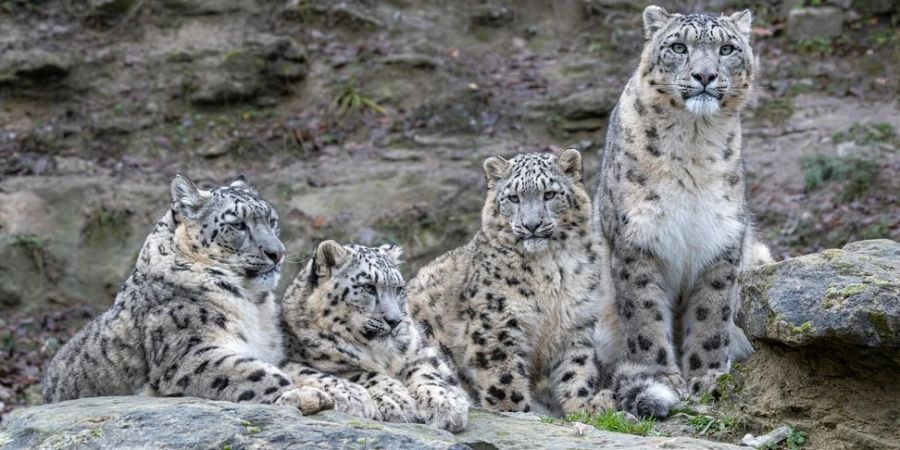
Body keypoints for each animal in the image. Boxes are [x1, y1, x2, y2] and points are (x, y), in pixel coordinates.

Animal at [42, 175, 334, 414]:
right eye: (238, 225)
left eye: (272, 221)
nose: (278, 252)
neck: (255, 305)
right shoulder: (192, 352)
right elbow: (257, 373)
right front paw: (304, 396)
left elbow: (300, 369)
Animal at [280, 241, 472, 430]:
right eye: (368, 287)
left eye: (398, 289)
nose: (395, 320)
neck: (382, 355)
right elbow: (362, 374)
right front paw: (395, 399)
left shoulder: (417, 354)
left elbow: (426, 372)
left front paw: (445, 403)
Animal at [406, 149, 612, 414]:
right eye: (513, 198)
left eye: (549, 194)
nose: (531, 225)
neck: (551, 268)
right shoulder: (496, 320)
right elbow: (503, 375)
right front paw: (515, 410)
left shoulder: (576, 321)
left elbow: (576, 369)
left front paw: (584, 407)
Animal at [592, 4, 772, 418]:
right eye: (678, 46)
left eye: (726, 49)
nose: (704, 75)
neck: (693, 142)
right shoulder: (637, 241)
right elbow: (645, 316)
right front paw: (664, 378)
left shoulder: (721, 239)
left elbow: (712, 315)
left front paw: (707, 377)